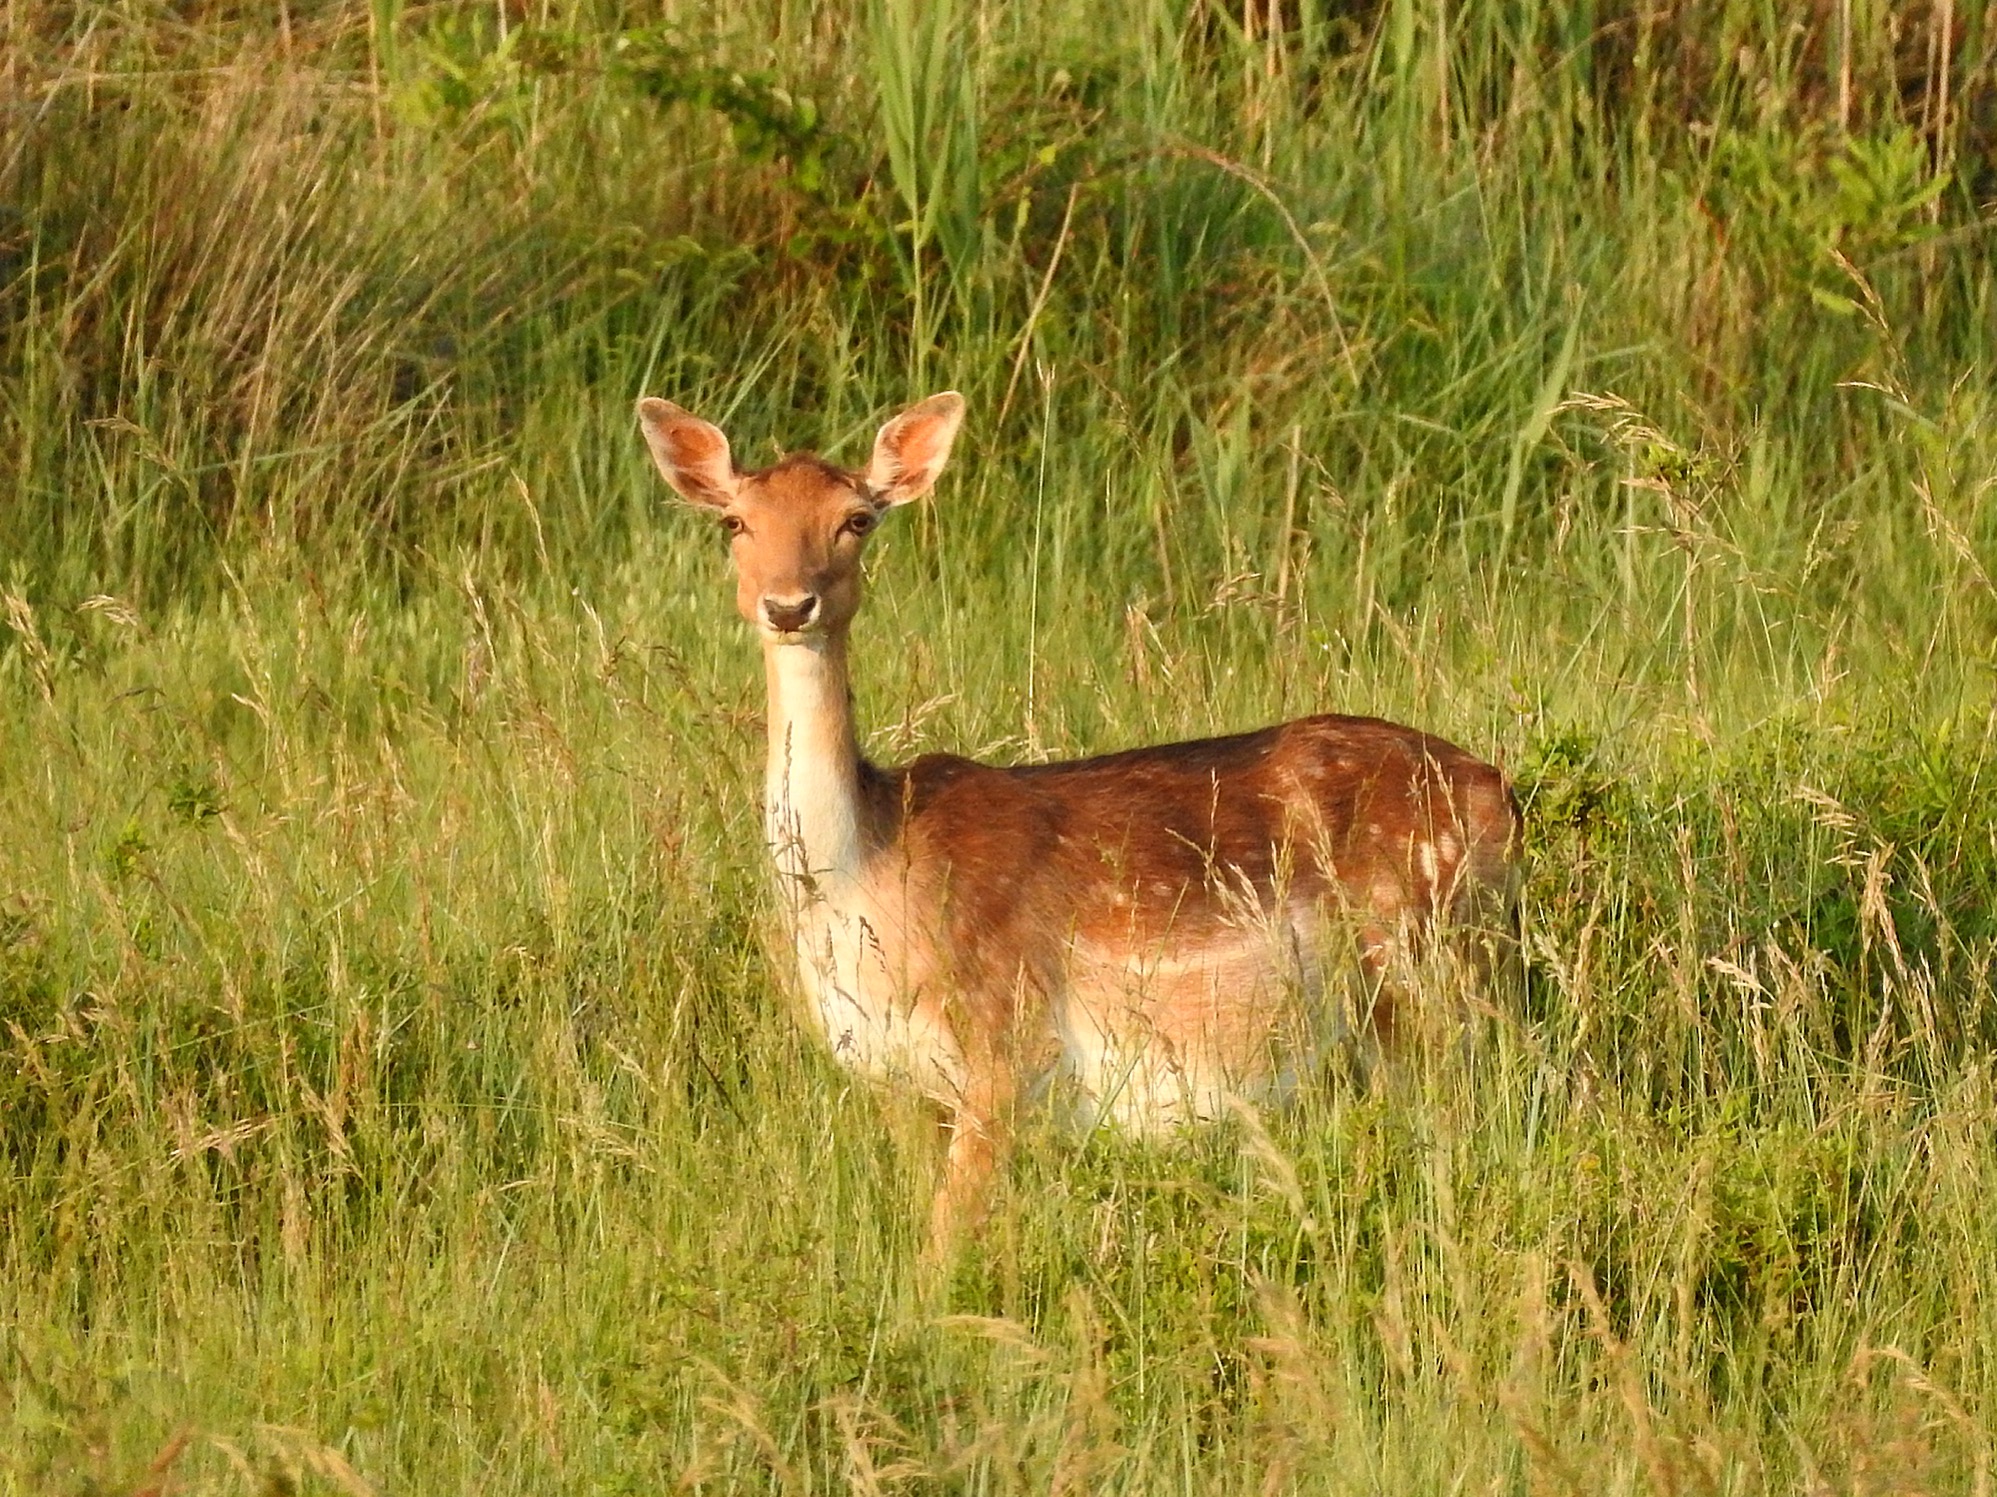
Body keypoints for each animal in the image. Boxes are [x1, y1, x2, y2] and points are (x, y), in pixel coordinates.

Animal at [636, 391, 1521, 1252]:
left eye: (856, 518)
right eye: (733, 521)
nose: (789, 604)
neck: (863, 878)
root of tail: (1501, 795)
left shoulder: (1009, 1047)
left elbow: (942, 1248)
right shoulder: (890, 1077)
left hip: (1427, 964)